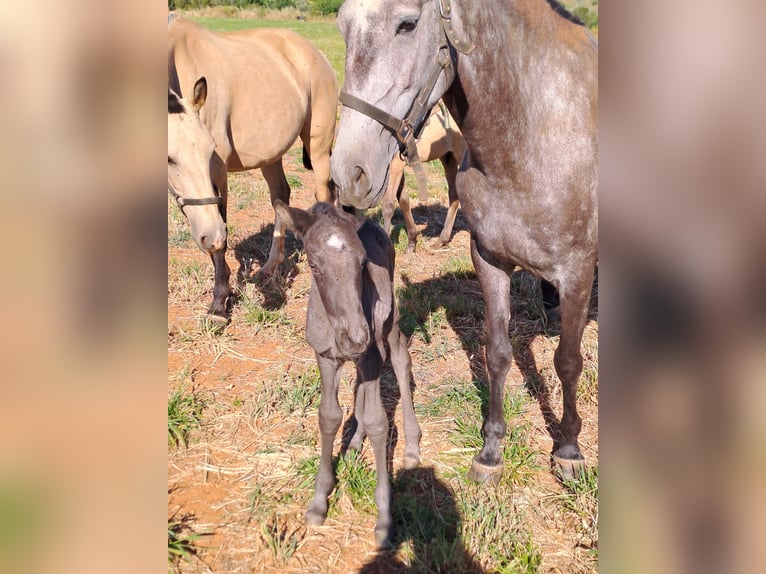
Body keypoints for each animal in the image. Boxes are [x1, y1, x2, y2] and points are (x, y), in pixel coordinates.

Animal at [170, 15, 338, 322]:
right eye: (170, 158)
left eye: (210, 149)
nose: (207, 236)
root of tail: (314, 52)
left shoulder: (218, 171)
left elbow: (222, 234)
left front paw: (219, 304)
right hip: (272, 155)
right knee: (281, 196)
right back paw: (271, 266)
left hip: (319, 147)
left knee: (325, 193)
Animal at [272, 201, 424, 548]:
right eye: (314, 265)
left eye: (362, 262)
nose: (356, 337)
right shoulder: (326, 357)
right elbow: (329, 416)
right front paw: (319, 501)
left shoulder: (371, 354)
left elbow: (379, 421)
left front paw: (384, 517)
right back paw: (354, 442)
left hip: (389, 324)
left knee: (400, 360)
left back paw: (411, 444)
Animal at [384, 102, 468, 251]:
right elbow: (403, 200)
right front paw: (412, 241)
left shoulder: (395, 164)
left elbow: (388, 204)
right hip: (448, 158)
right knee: (454, 194)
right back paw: (441, 240)